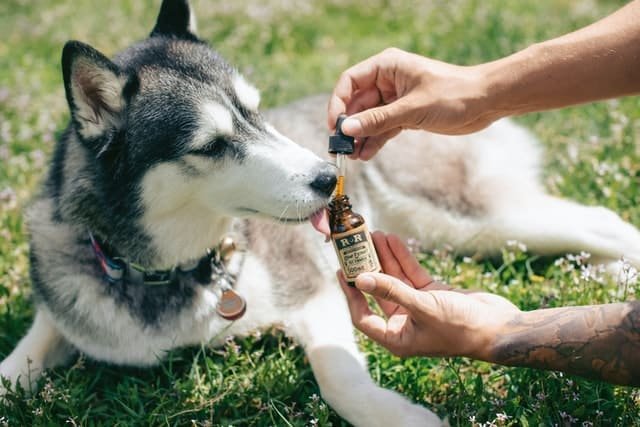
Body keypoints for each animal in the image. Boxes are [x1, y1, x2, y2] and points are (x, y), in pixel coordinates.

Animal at [1, 1, 640, 426]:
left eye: (257, 112)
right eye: (211, 145)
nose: (328, 177)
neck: (171, 272)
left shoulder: (313, 289)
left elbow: (336, 376)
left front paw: (396, 417)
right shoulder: (65, 303)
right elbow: (20, 359)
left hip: (470, 217)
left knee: (601, 219)